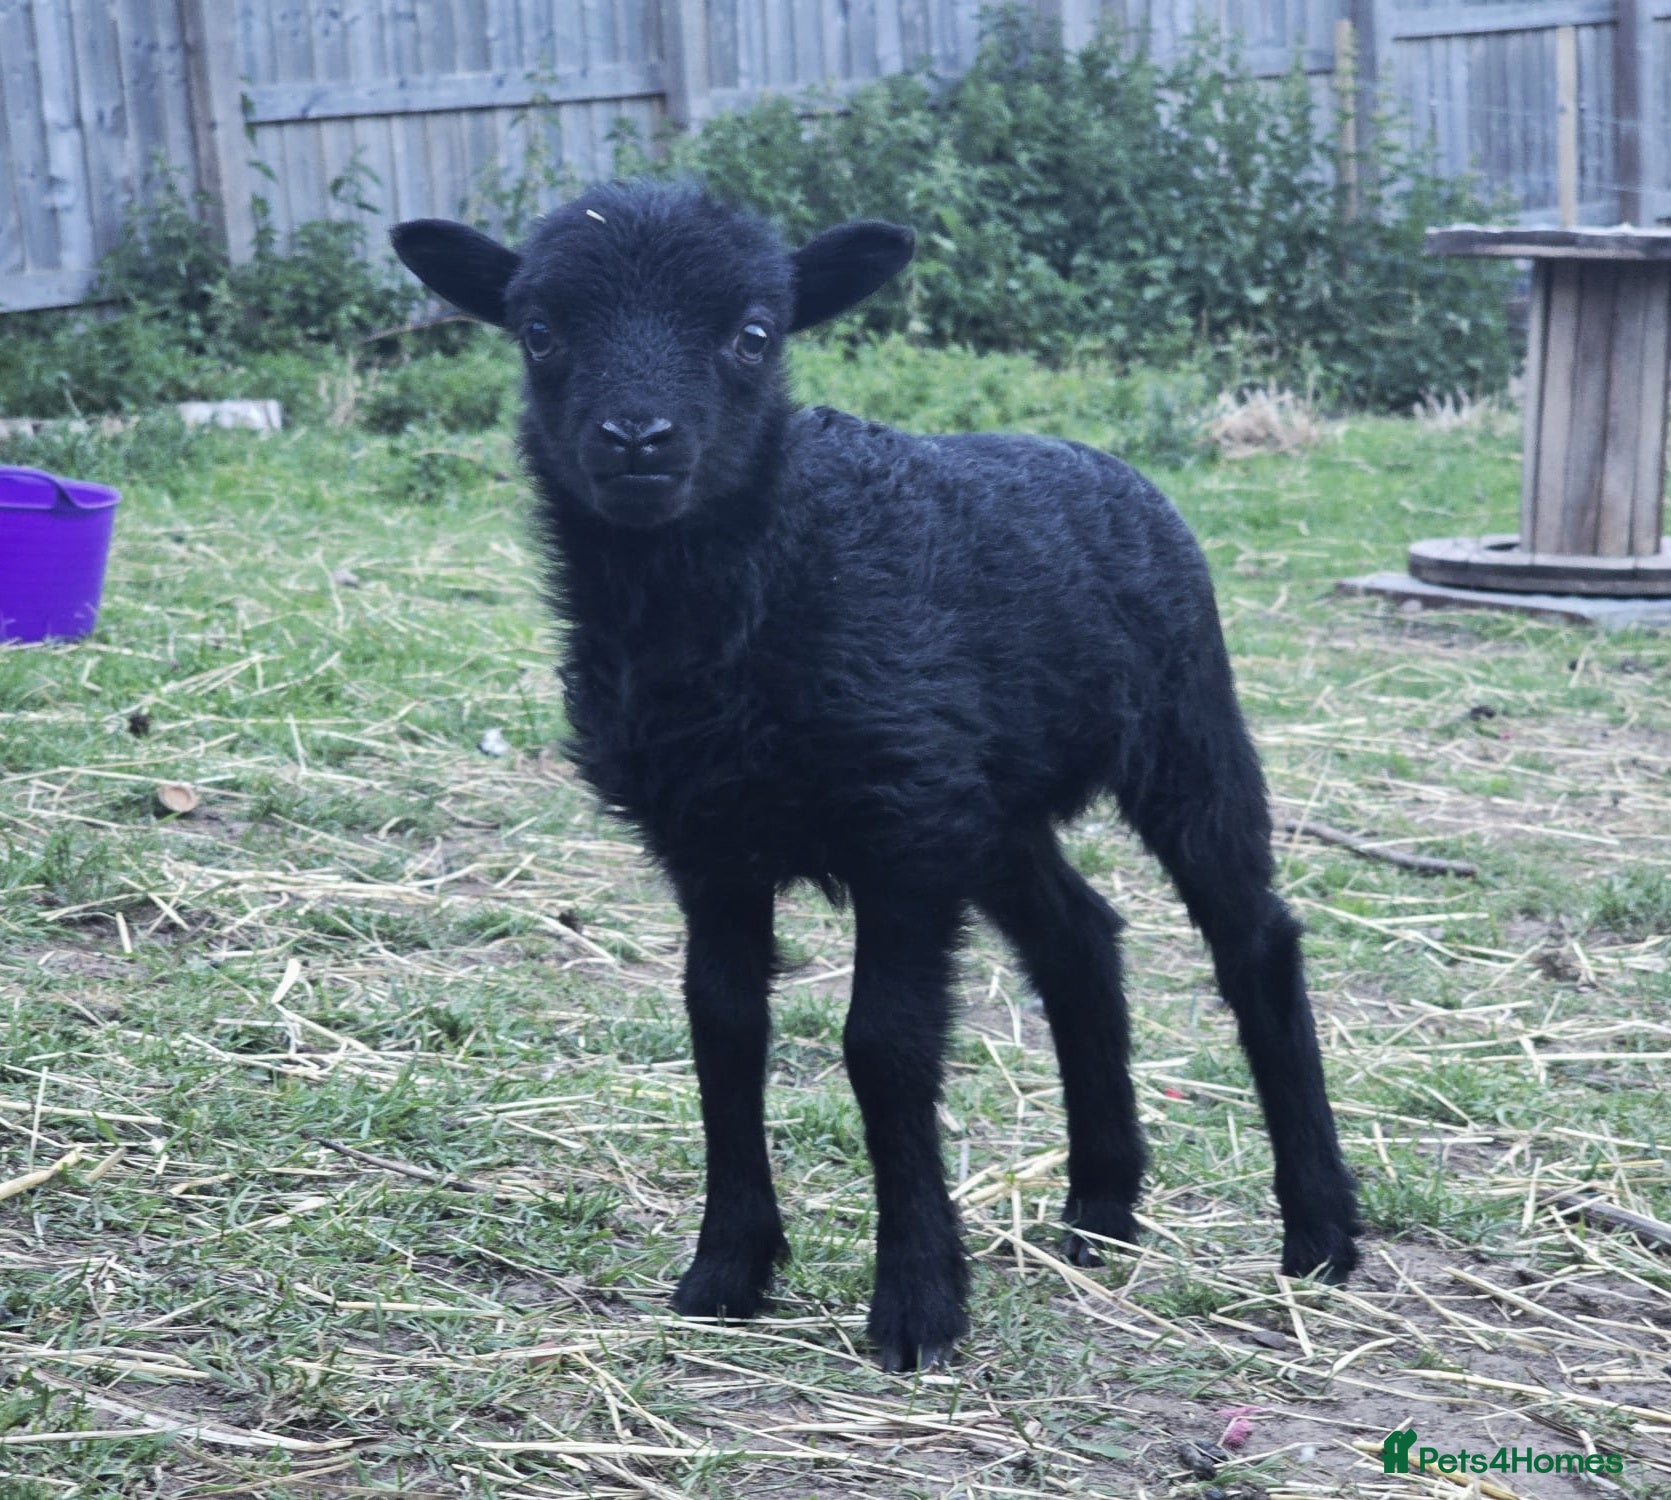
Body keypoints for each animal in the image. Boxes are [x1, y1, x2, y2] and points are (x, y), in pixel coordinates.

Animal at [391, 181, 1360, 1372]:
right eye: (537, 333)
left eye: (754, 335)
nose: (637, 439)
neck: (758, 591)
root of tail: (1104, 461)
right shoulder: (711, 843)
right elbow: (722, 1026)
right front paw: (726, 1271)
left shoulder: (903, 834)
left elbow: (883, 1046)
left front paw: (916, 1304)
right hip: (989, 806)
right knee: (1079, 939)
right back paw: (1098, 1209)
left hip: (1181, 730)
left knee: (1254, 941)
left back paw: (1319, 1230)